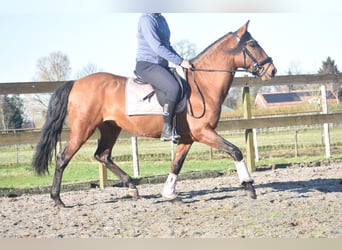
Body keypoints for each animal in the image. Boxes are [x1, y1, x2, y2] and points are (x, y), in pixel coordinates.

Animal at [32, 21, 276, 207]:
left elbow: (176, 165)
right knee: (64, 158)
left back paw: (132, 188)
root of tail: (76, 83)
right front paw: (249, 186)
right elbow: (235, 151)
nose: (272, 70)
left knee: (103, 155)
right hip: (83, 128)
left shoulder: (188, 138)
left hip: (110, 127)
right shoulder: (203, 132)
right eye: (253, 44)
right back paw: (57, 200)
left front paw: (169, 194)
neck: (202, 84)